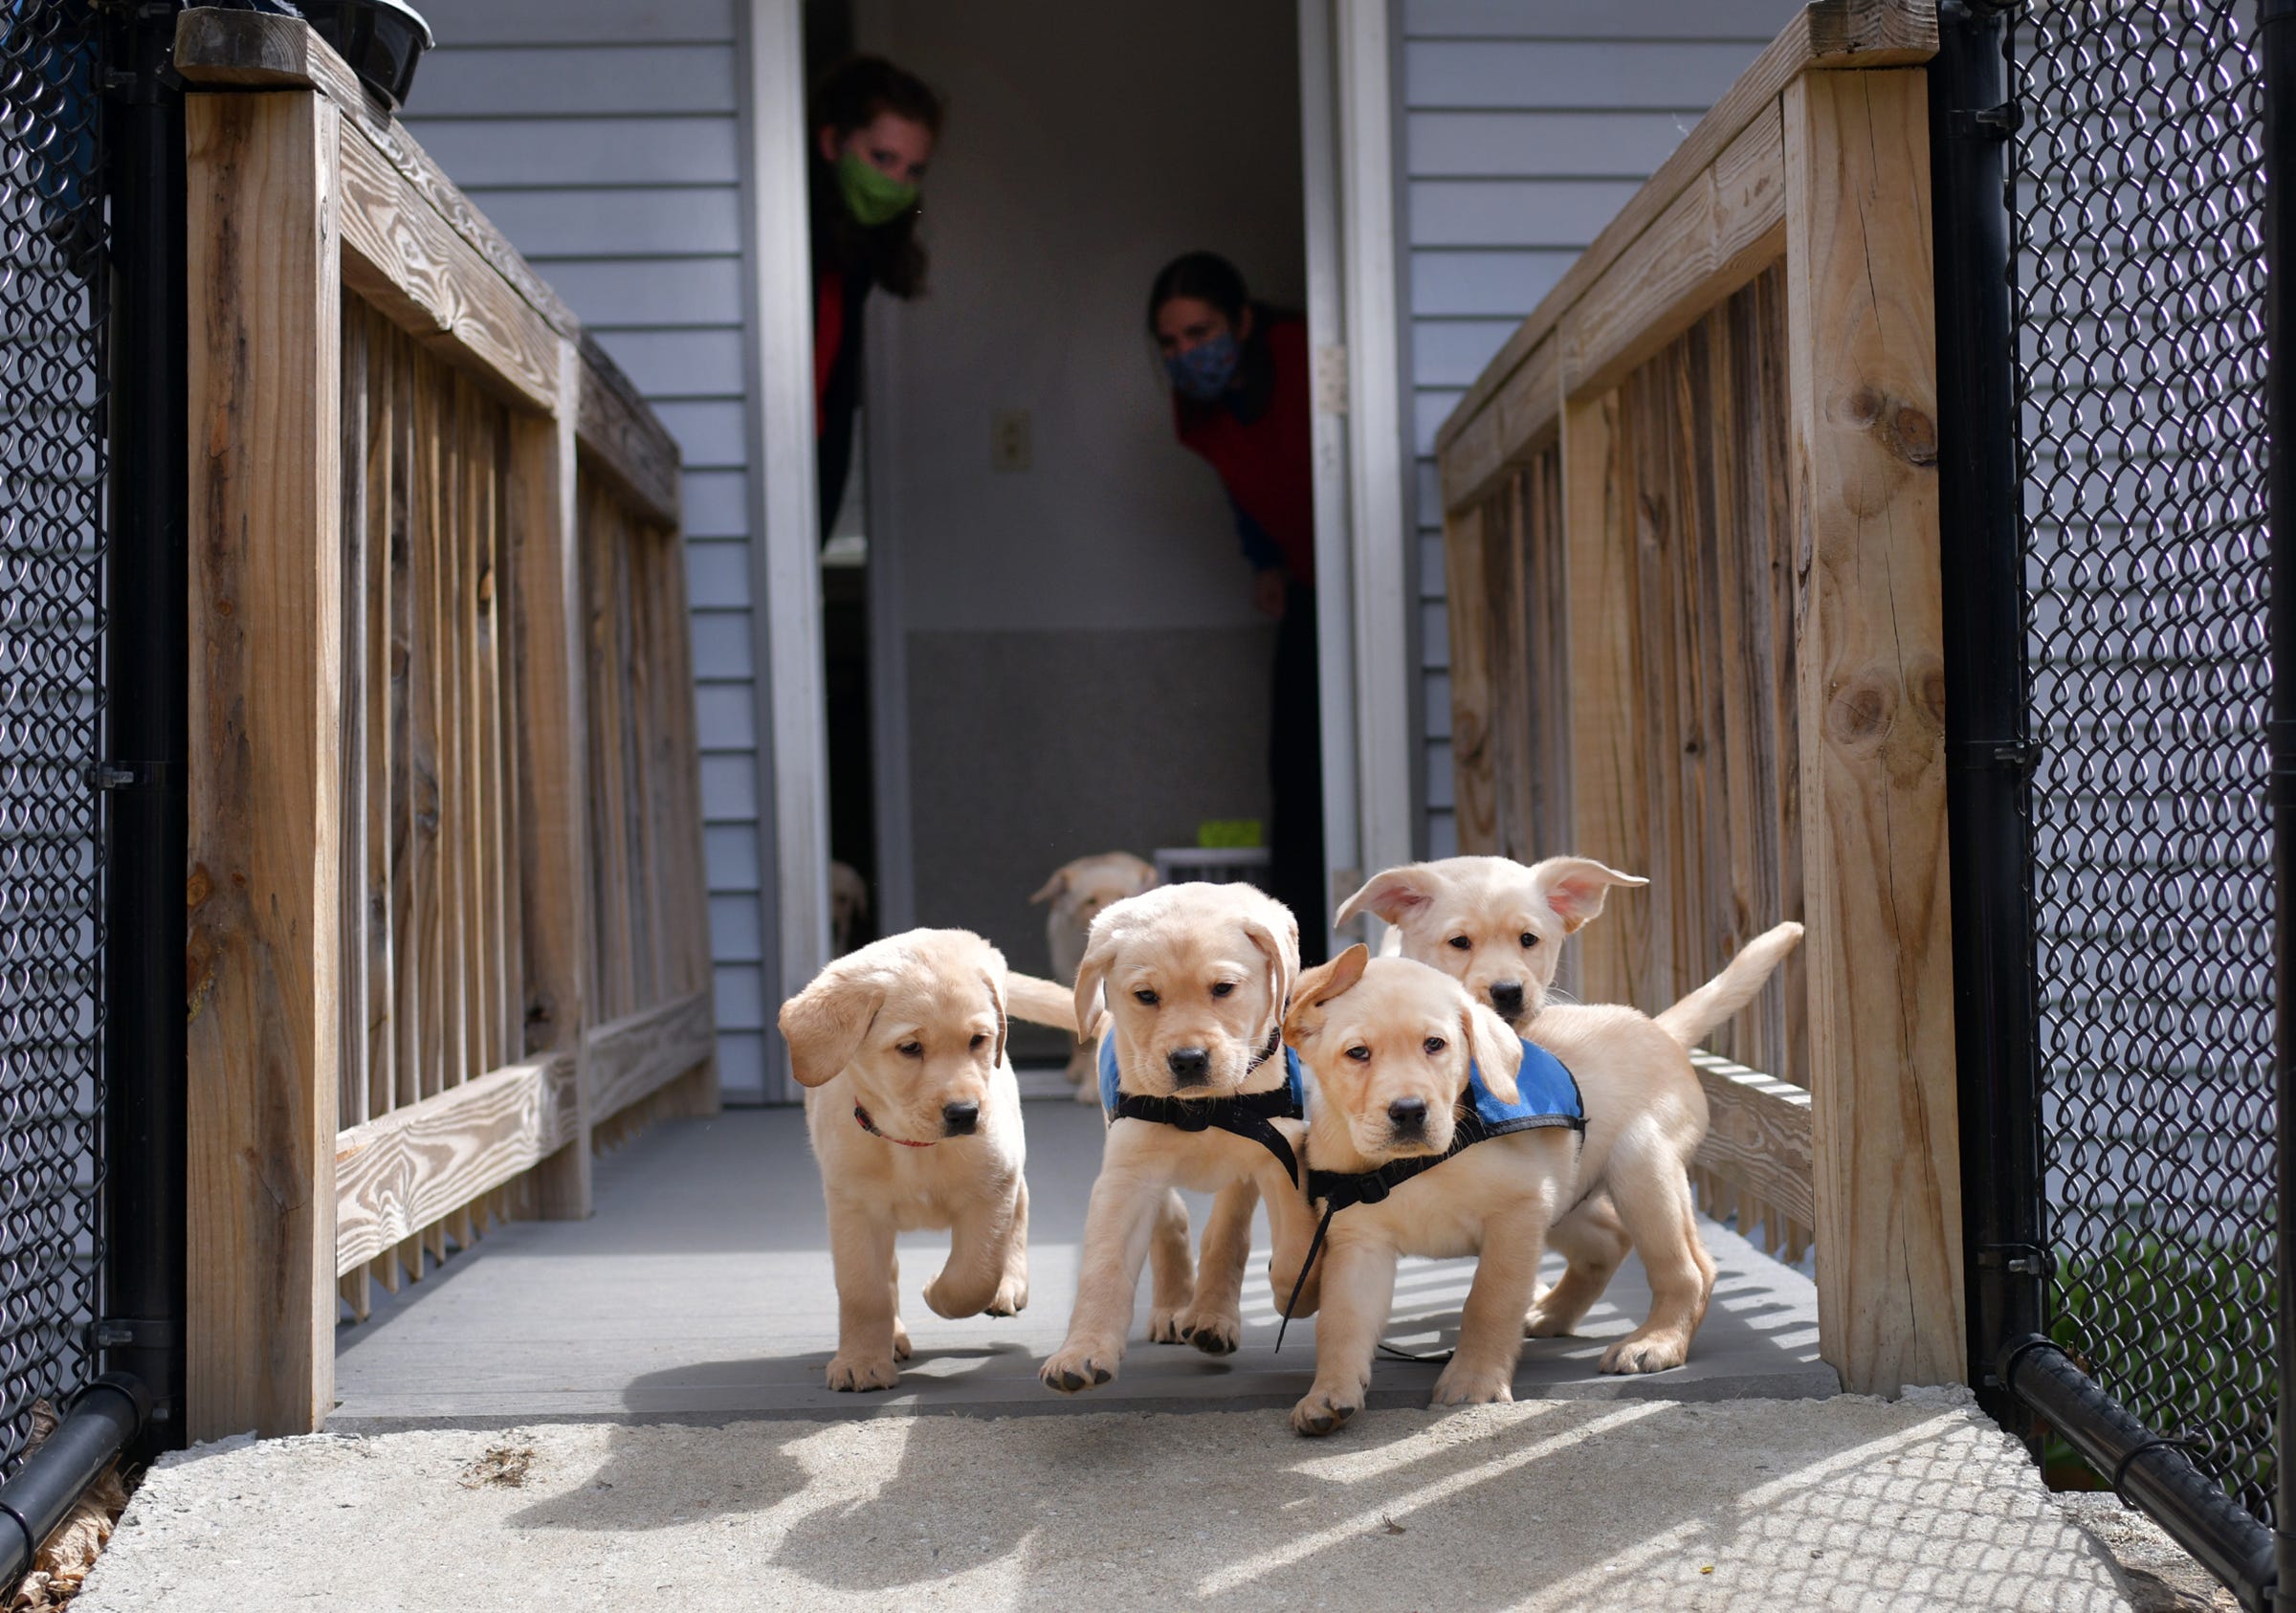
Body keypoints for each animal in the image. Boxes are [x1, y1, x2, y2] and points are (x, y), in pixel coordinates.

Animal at [781, 928, 1074, 1397]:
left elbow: (974, 1274)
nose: (965, 1113)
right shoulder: (854, 1210)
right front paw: (862, 1361)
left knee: (1021, 1207)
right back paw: (893, 1337)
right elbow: (864, 1290)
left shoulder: (992, 1188)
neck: (913, 1145)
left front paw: (938, 1291)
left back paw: (1009, 1285)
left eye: (978, 1040)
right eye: (910, 1048)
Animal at [1042, 877, 1332, 1397]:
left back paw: (1214, 1316)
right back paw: (1178, 1309)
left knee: (1227, 1227)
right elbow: (1103, 1266)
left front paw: (1295, 1293)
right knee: (1173, 1219)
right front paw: (1082, 1351)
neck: (1204, 1109)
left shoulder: (1281, 1152)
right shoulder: (1127, 1174)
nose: (1189, 1060)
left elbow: (1295, 1244)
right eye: (1145, 996)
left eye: (1224, 989)